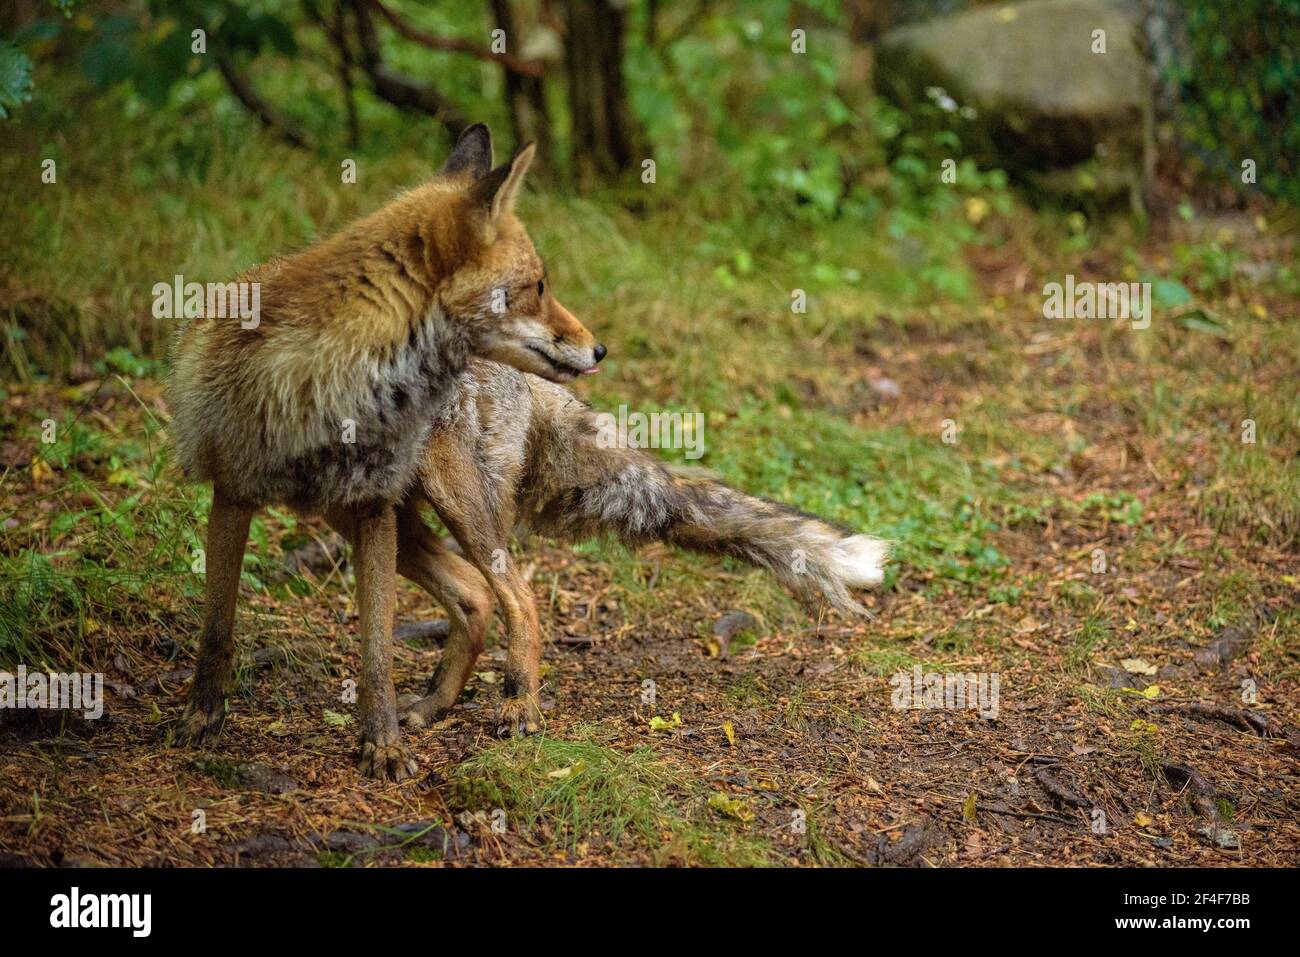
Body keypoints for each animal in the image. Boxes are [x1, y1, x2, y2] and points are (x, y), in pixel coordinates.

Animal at [324, 360, 891, 737]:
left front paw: (378, 745)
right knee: (477, 599)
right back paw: (436, 704)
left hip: (453, 495)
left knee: (519, 599)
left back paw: (518, 706)